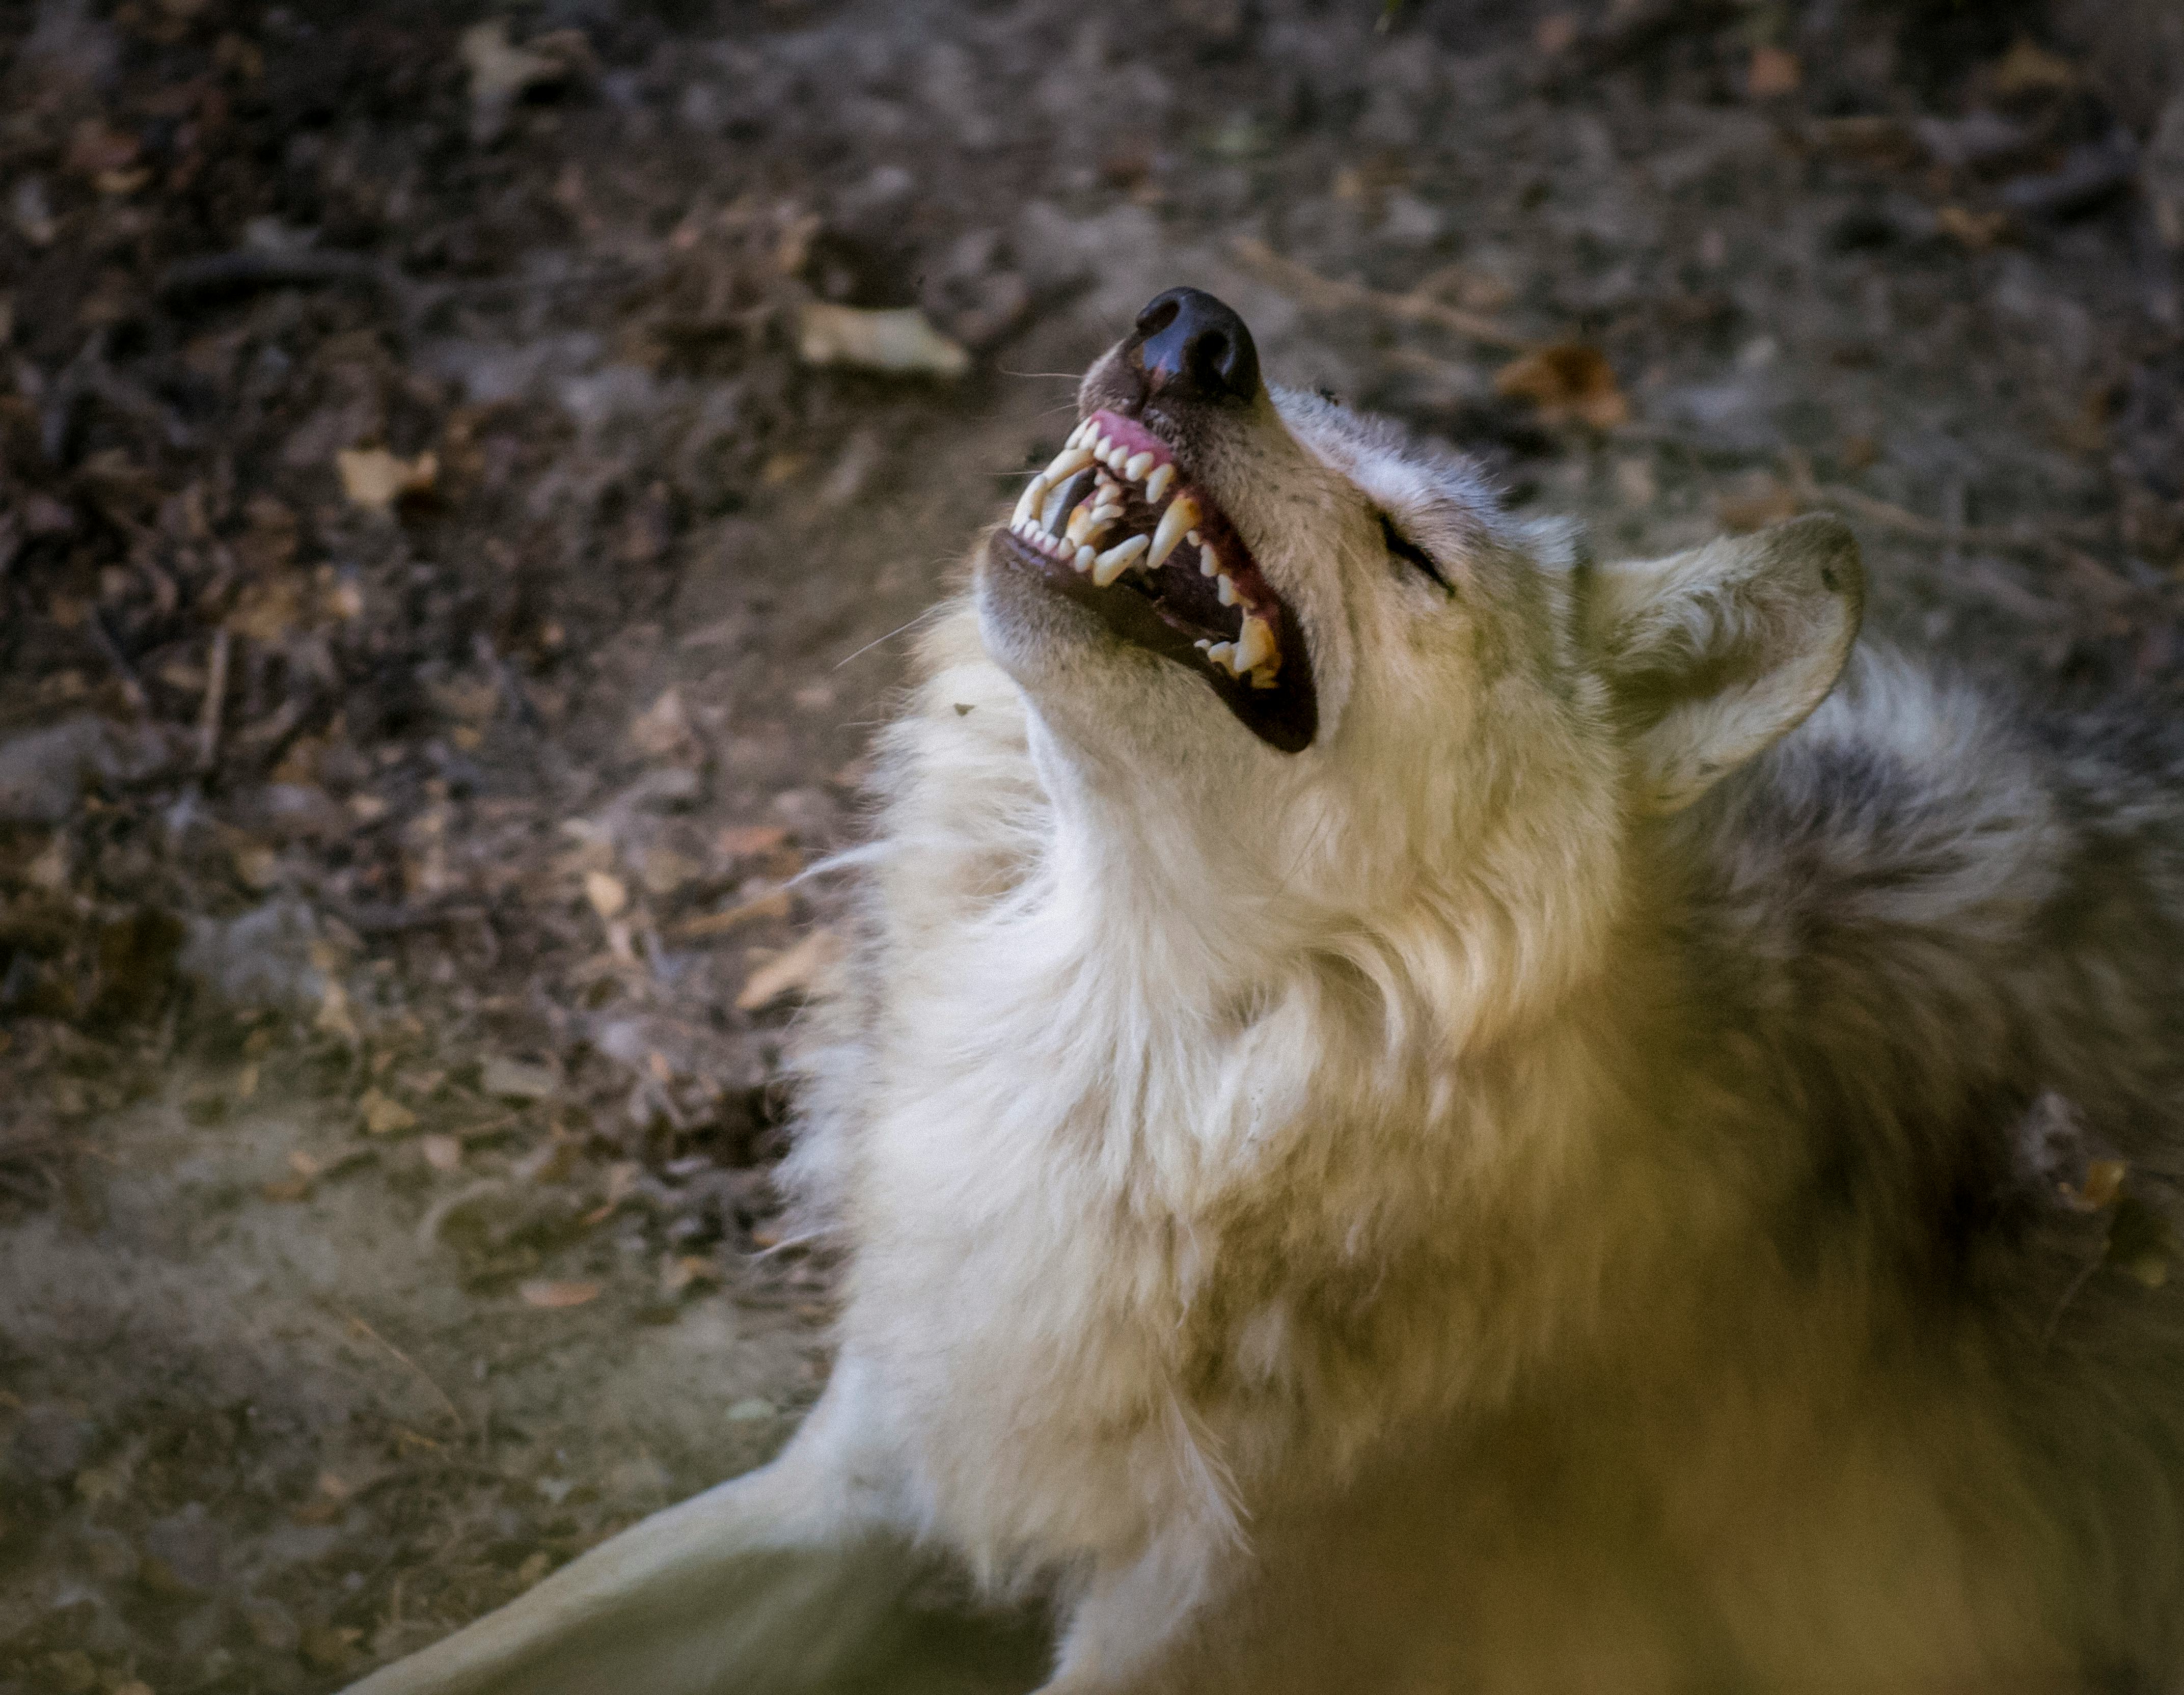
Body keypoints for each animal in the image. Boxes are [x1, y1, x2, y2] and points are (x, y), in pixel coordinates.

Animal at [347, 288, 2184, 1694]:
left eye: (1410, 551)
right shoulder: (865, 1473)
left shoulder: (1193, 1636)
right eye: (1294, 402)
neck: (1121, 1063)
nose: (1191, 327)